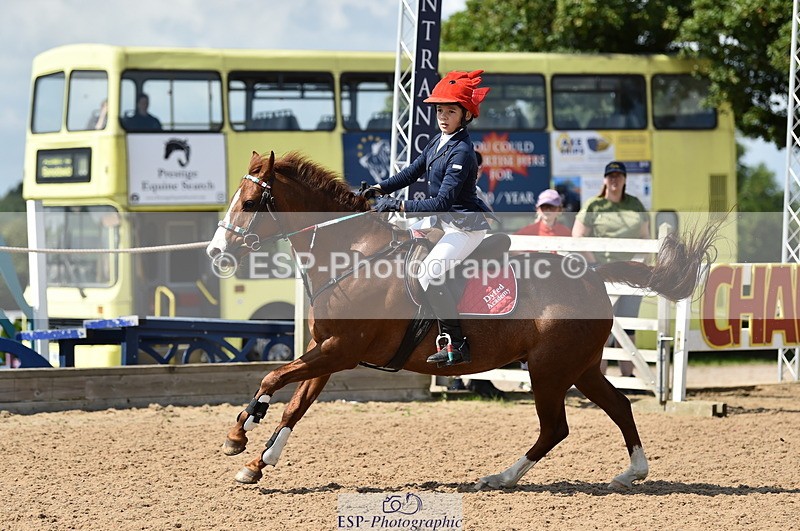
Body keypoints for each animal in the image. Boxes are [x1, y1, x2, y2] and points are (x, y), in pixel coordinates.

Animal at [206, 150, 718, 490]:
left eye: (250, 204)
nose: (215, 253)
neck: (352, 256)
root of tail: (591, 273)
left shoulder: (341, 350)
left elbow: (273, 377)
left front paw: (238, 434)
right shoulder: (328, 352)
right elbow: (295, 404)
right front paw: (256, 461)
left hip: (549, 369)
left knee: (556, 428)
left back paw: (501, 477)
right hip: (581, 367)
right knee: (620, 406)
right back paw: (632, 471)